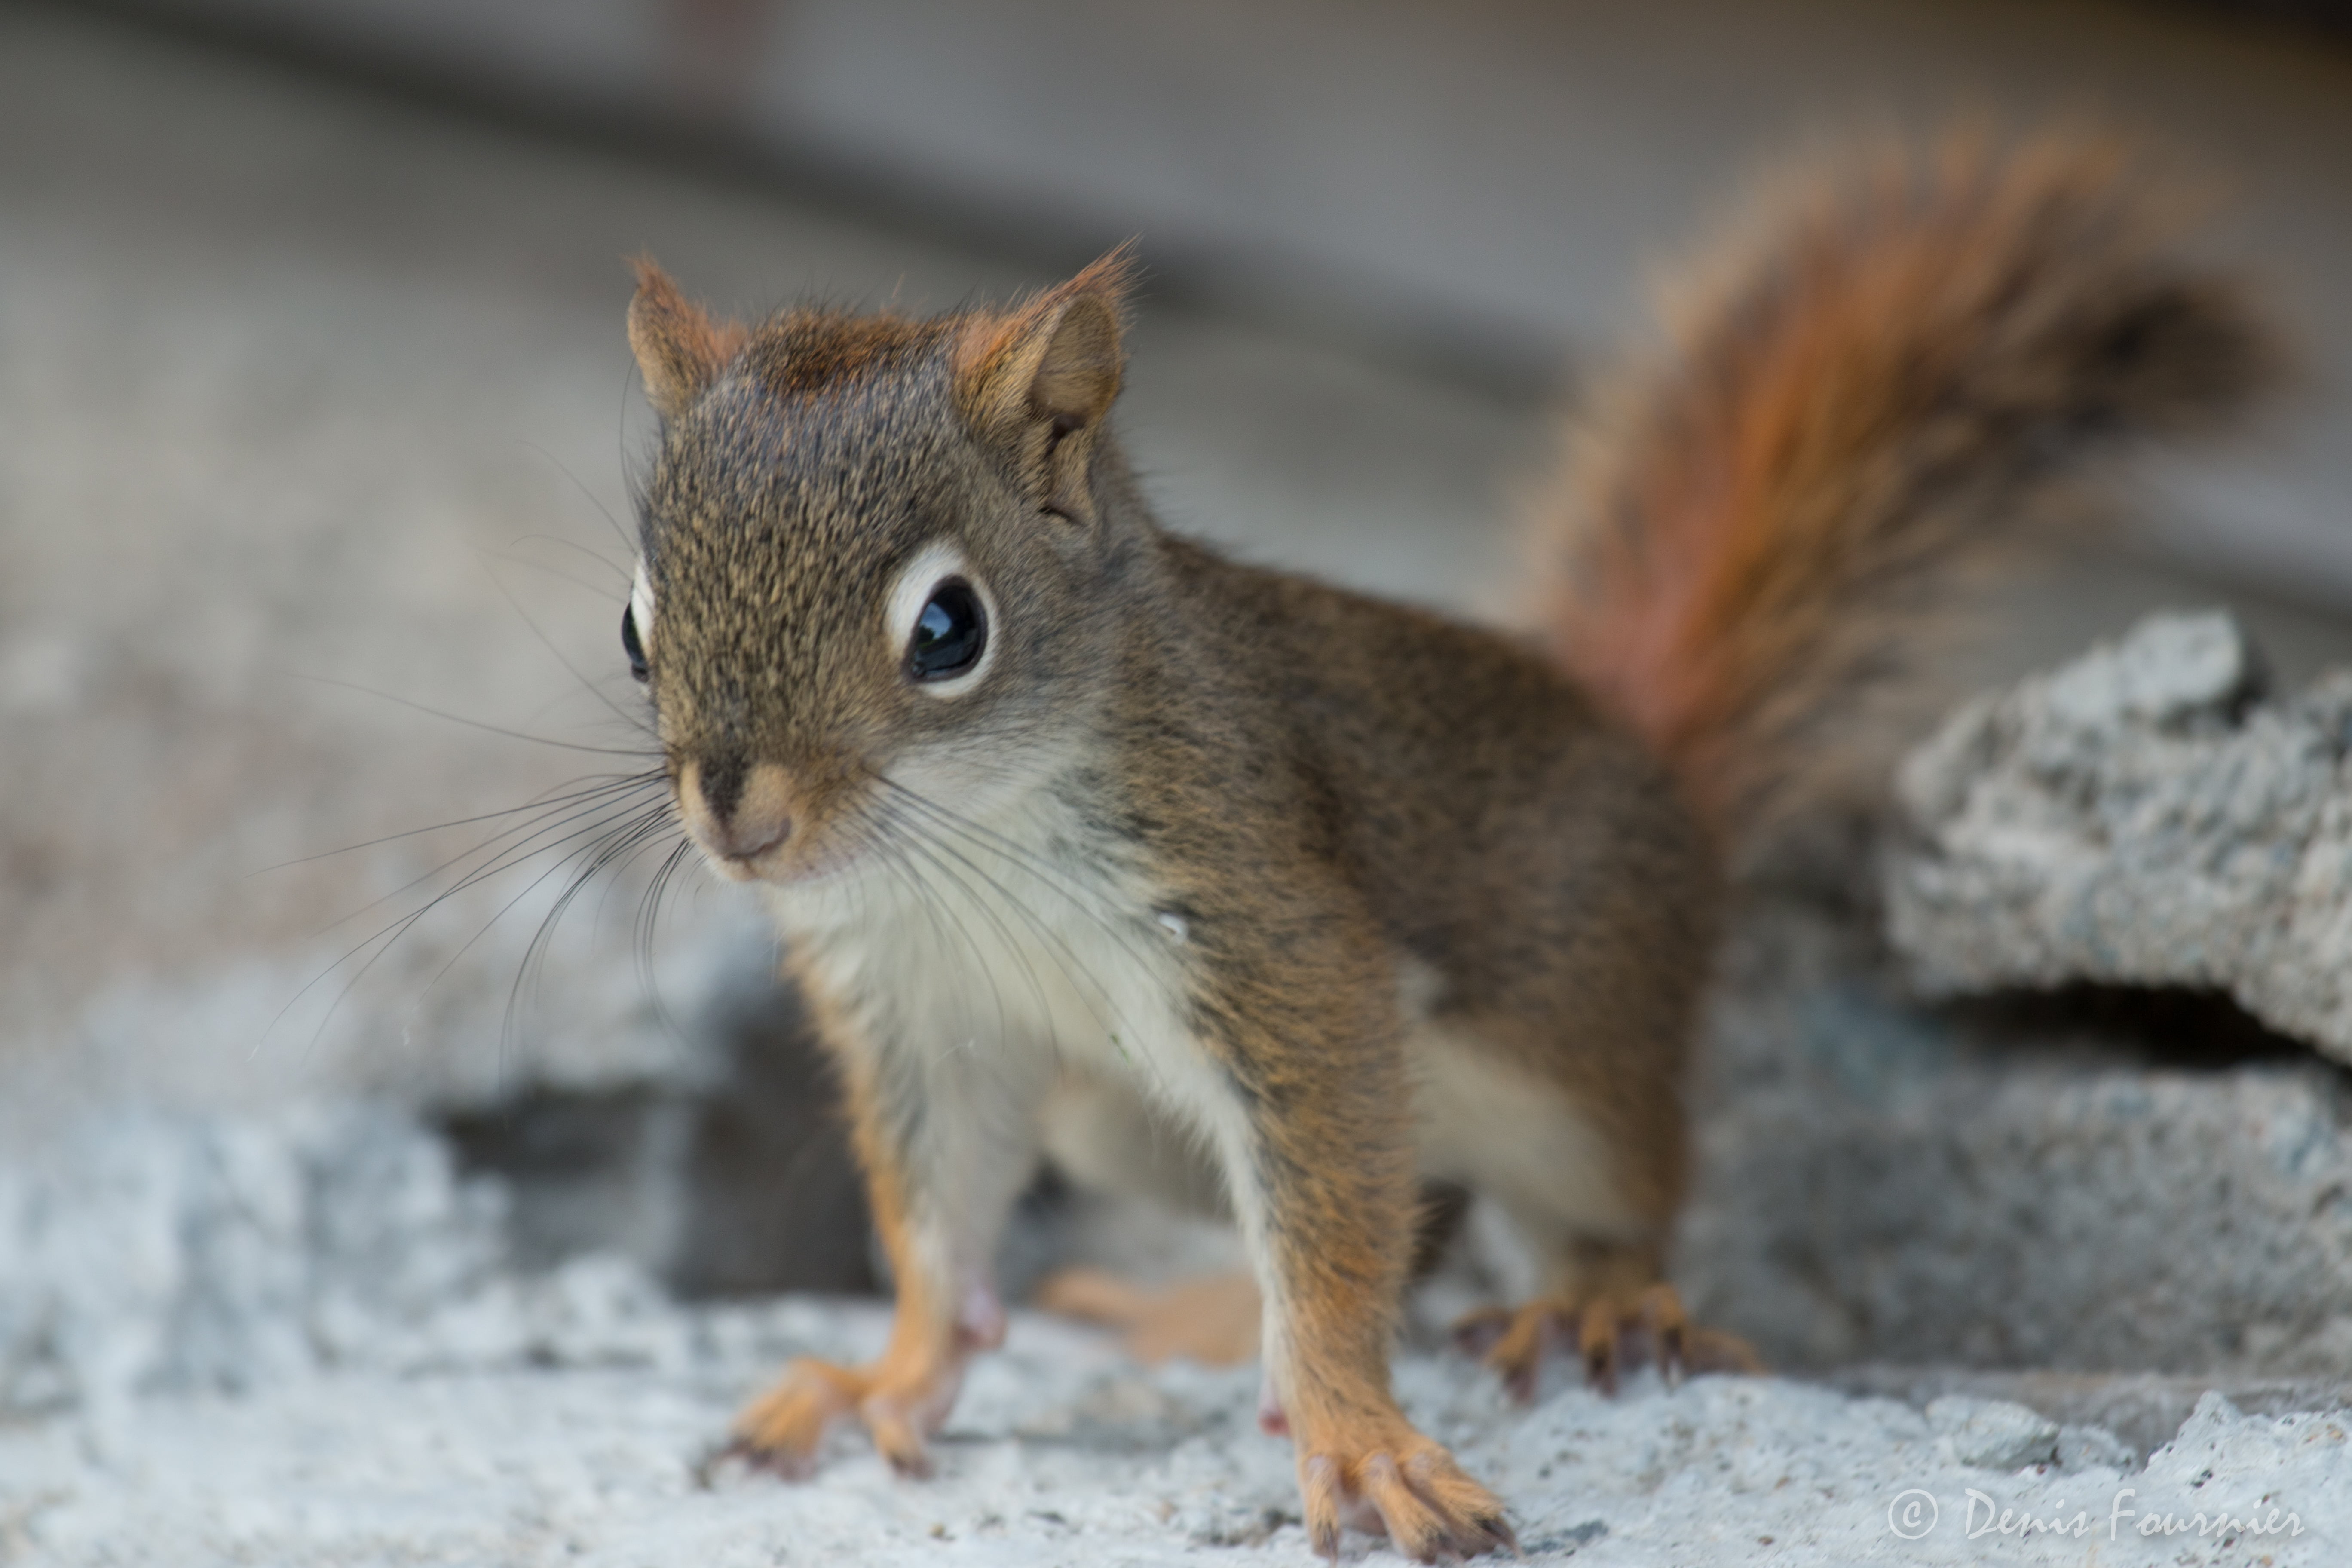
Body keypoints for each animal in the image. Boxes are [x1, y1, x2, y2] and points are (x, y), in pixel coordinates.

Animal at [615, 131, 2275, 1561]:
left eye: (949, 629)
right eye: (635, 628)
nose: (738, 814)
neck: (962, 848)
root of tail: (1660, 775)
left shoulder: (1272, 931)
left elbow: (1333, 1209)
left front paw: (1355, 1433)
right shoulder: (919, 1010)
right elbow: (937, 1222)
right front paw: (887, 1376)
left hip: (1567, 1059)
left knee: (1592, 1199)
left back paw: (1596, 1301)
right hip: (1117, 1124)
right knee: (1415, 1207)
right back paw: (1204, 1317)